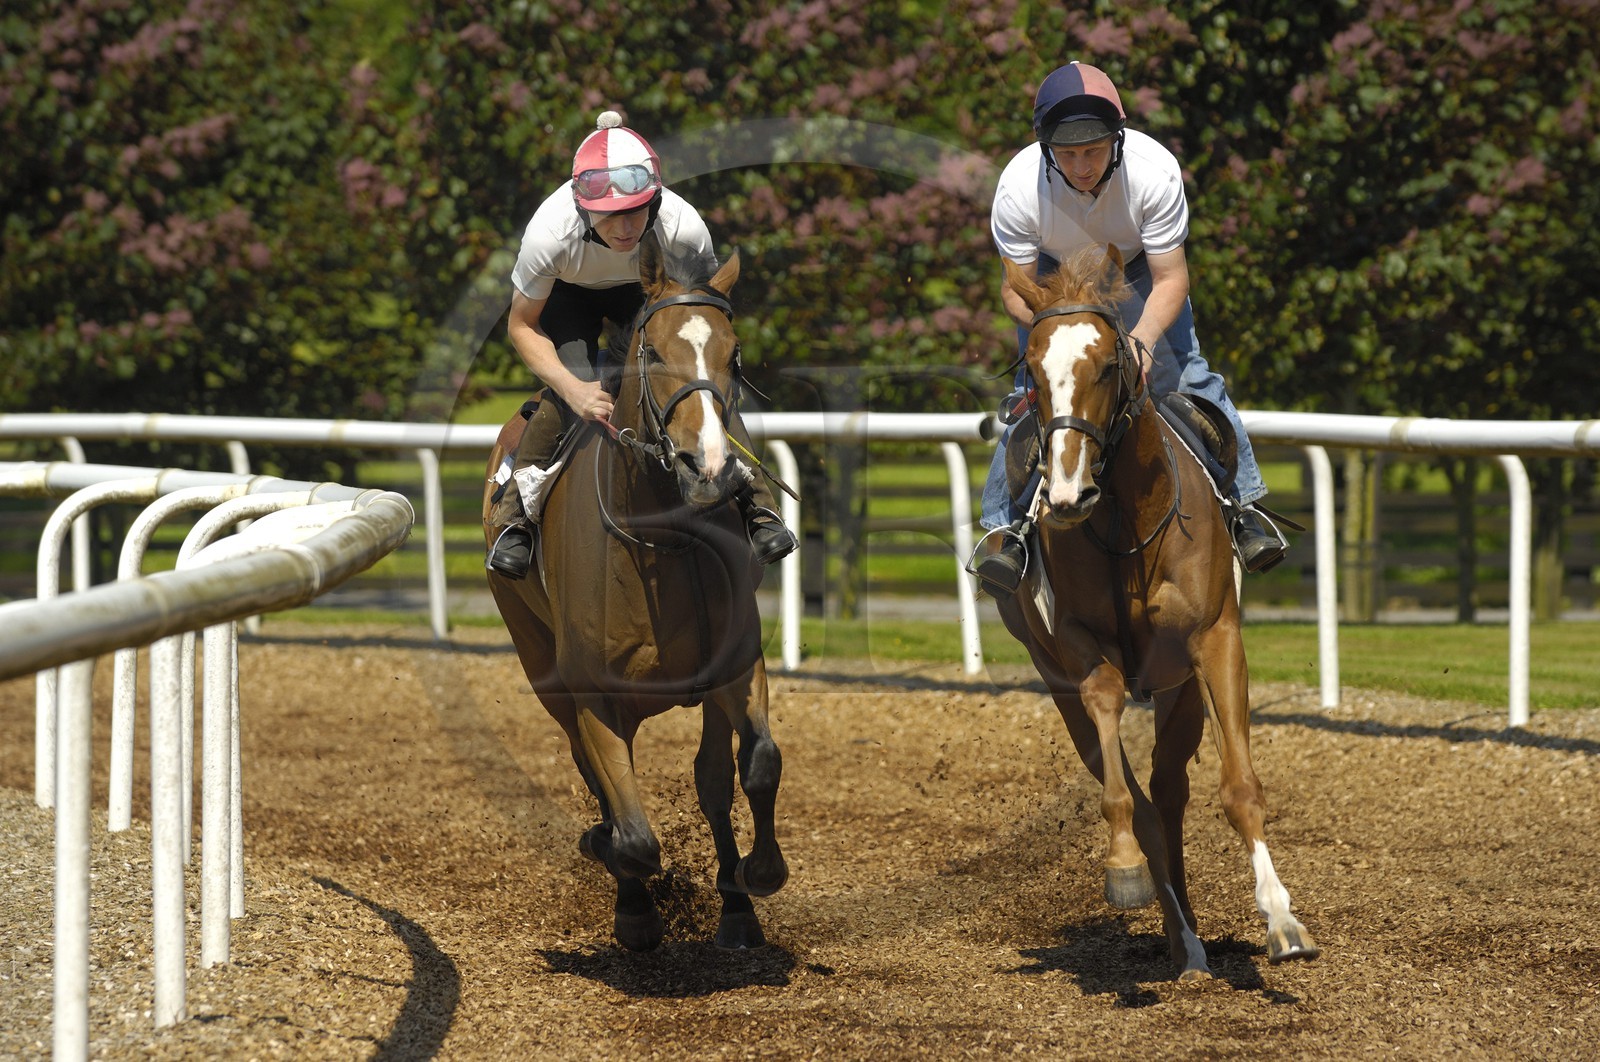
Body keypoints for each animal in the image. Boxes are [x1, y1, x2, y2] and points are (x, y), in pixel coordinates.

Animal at [483, 233, 788, 952]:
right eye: (653, 353)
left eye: (734, 355)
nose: (709, 468)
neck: (661, 541)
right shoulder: (593, 693)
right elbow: (634, 835)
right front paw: (633, 900)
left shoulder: (736, 661)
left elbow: (753, 764)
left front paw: (752, 882)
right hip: (540, 664)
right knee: (594, 777)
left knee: (711, 781)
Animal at [989, 246, 1319, 979]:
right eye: (1033, 372)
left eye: (1107, 366)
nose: (1067, 493)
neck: (1126, 525)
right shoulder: (1078, 648)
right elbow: (1120, 781)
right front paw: (1123, 869)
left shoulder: (1214, 641)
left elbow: (1239, 787)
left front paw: (1283, 922)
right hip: (1057, 681)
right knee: (1143, 798)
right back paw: (1178, 932)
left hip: (1177, 689)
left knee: (1169, 793)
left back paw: (1193, 937)